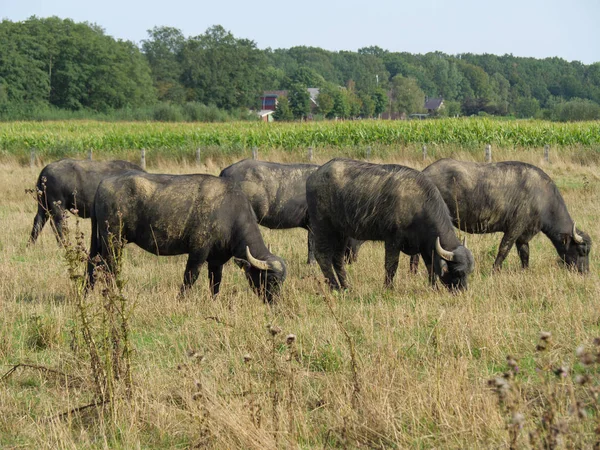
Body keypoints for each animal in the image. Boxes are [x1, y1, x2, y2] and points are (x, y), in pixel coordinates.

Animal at [86, 172, 288, 302]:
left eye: (281, 281)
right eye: (270, 279)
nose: (275, 302)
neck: (230, 212)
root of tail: (103, 184)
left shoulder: (216, 260)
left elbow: (215, 282)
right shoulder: (198, 251)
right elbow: (190, 277)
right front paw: (181, 299)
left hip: (105, 241)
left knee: (93, 264)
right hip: (112, 240)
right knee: (108, 266)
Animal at [308, 158, 476, 292]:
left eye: (469, 272)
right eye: (458, 272)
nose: (462, 291)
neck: (418, 207)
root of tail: (315, 175)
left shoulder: (425, 246)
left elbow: (431, 268)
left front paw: (434, 288)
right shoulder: (392, 240)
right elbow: (391, 265)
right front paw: (388, 287)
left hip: (341, 232)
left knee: (337, 259)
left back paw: (345, 286)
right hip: (323, 227)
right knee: (322, 256)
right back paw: (335, 286)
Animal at [410, 158, 592, 270]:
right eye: (582, 250)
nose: (585, 271)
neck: (542, 197)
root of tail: (424, 173)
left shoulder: (523, 235)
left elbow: (524, 253)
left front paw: (525, 270)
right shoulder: (514, 228)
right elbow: (504, 249)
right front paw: (495, 270)